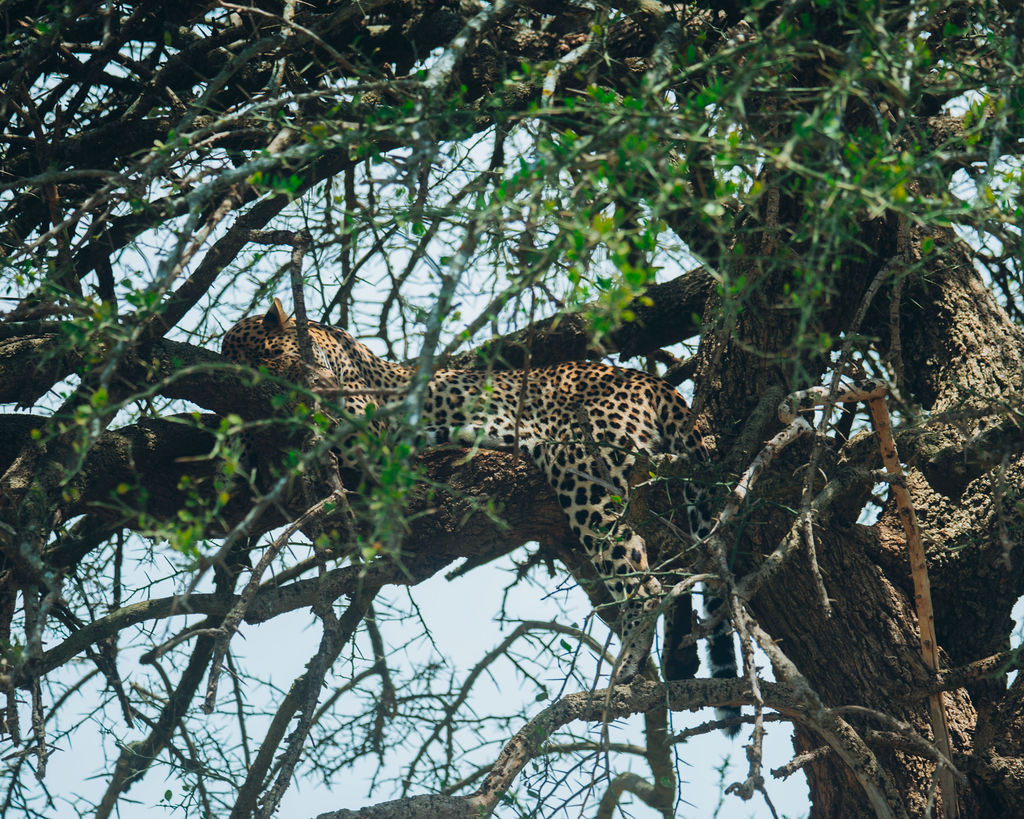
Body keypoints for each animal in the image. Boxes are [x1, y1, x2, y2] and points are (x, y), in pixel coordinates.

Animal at [222, 298, 737, 694]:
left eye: (270, 359)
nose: (270, 391)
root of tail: (652, 381)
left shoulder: (367, 423)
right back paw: (677, 659)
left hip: (581, 463)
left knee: (639, 575)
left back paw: (630, 658)